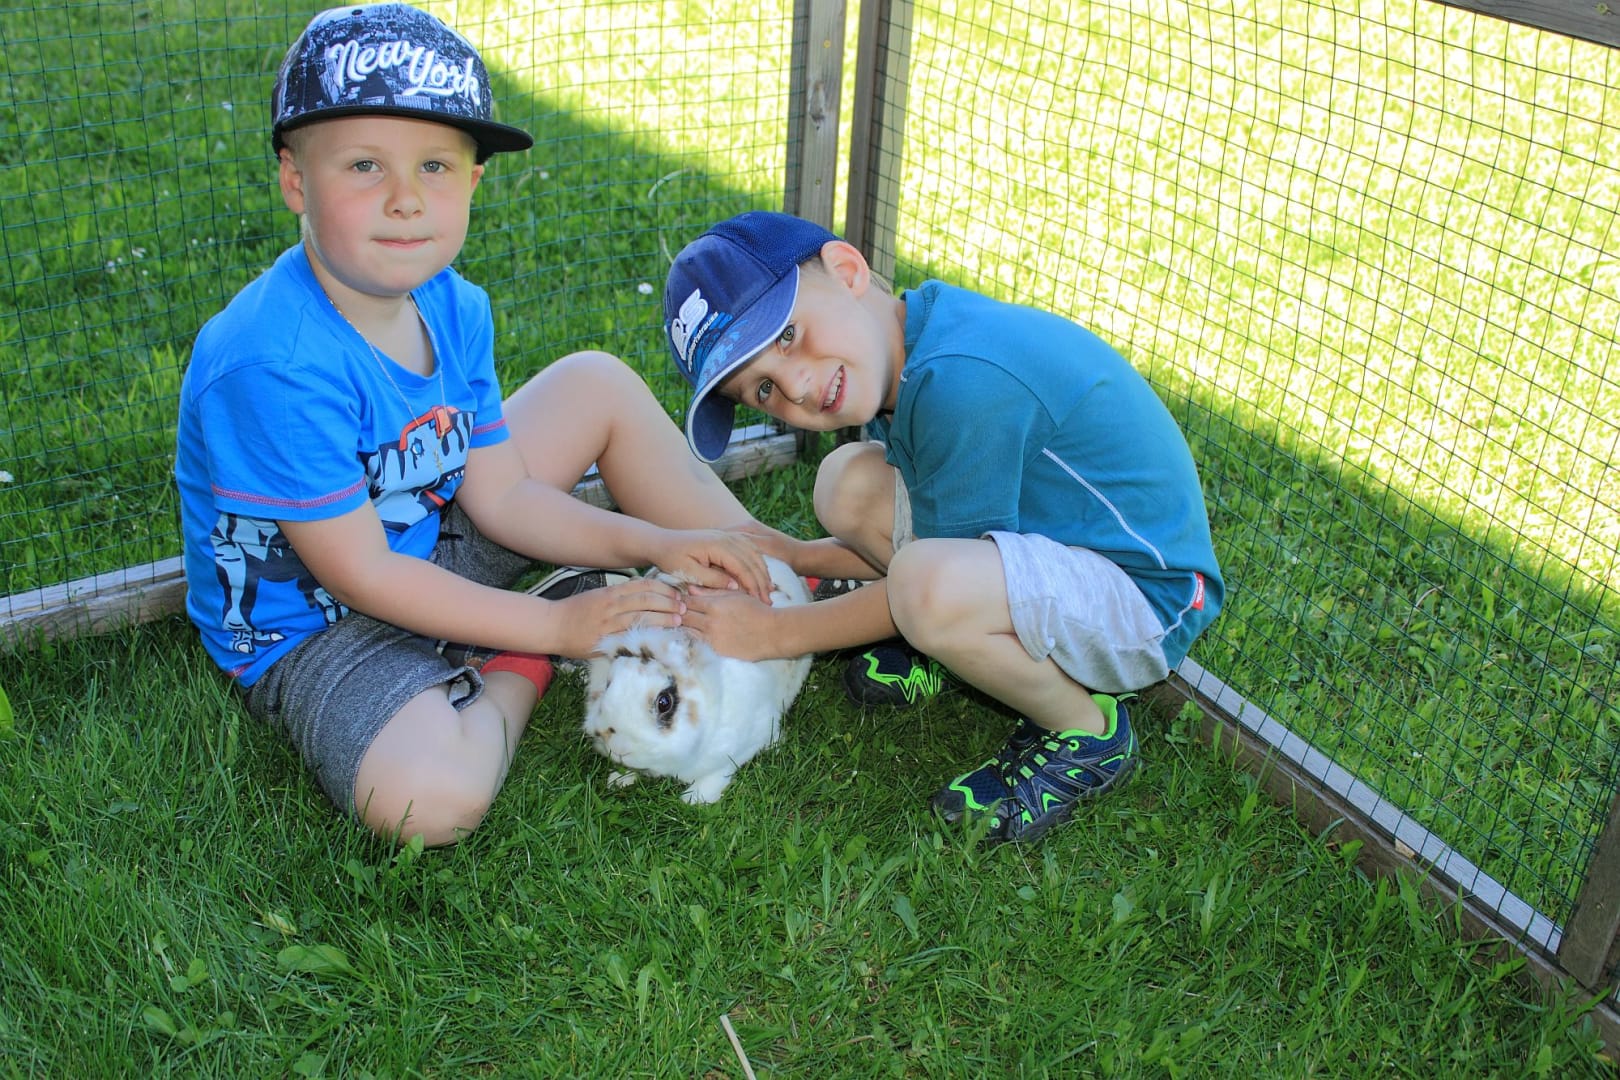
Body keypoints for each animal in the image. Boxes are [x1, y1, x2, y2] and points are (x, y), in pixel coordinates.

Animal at [582, 556, 813, 804]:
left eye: (664, 702)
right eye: (607, 684)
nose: (619, 749)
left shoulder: (748, 739)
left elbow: (719, 772)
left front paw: (694, 800)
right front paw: (618, 779)